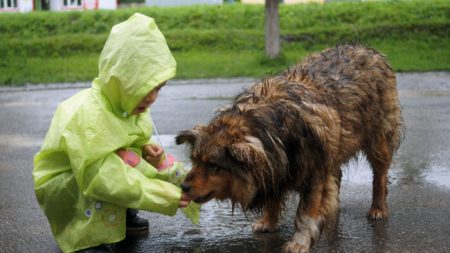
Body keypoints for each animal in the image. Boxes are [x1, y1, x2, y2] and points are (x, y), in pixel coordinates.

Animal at [176, 44, 404, 252]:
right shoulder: (277, 167)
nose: (183, 187)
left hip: (379, 138)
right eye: (194, 160)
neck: (268, 130)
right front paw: (267, 221)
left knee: (379, 175)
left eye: (213, 166)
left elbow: (306, 213)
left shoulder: (314, 172)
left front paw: (299, 242)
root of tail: (365, 48)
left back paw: (377, 208)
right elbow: (273, 198)